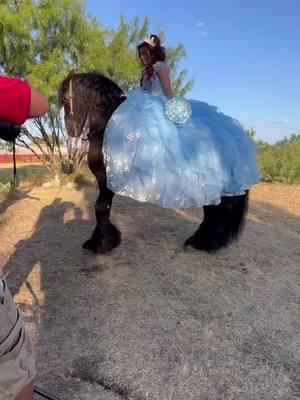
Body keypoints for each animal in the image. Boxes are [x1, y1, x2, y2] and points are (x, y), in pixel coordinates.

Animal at [58, 71, 248, 253]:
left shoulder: (107, 181)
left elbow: (100, 208)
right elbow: (102, 208)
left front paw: (101, 244)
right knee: (212, 211)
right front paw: (104, 240)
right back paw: (203, 241)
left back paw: (206, 243)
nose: (71, 131)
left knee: (216, 211)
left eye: (65, 98)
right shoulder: (102, 180)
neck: (108, 125)